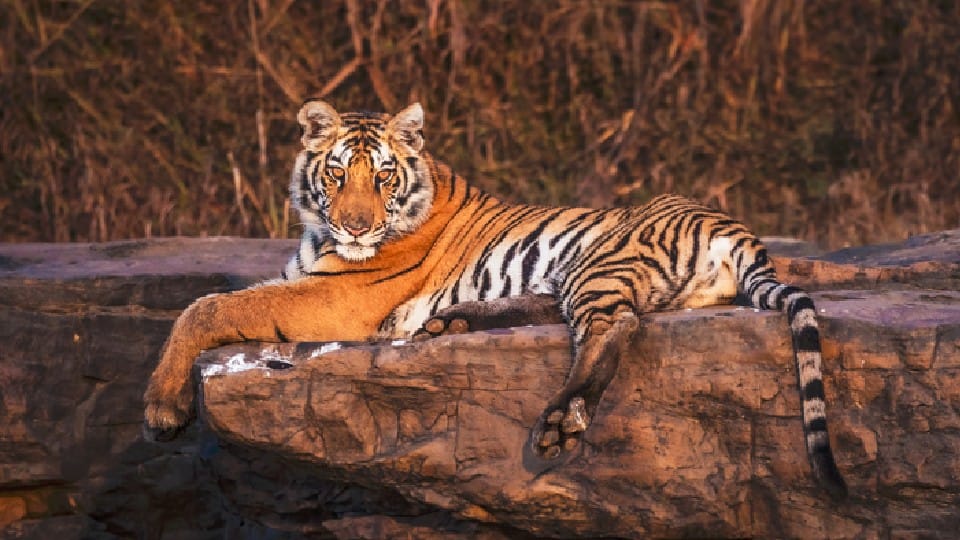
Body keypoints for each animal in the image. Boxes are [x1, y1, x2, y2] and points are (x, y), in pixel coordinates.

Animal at [143, 100, 847, 499]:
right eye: (338, 173)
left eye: (384, 176)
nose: (358, 227)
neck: (319, 233)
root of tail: (736, 228)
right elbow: (220, 301)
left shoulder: (337, 298)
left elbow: (207, 305)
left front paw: (160, 409)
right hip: (573, 275)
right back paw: (449, 323)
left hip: (597, 263)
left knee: (614, 329)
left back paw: (560, 418)